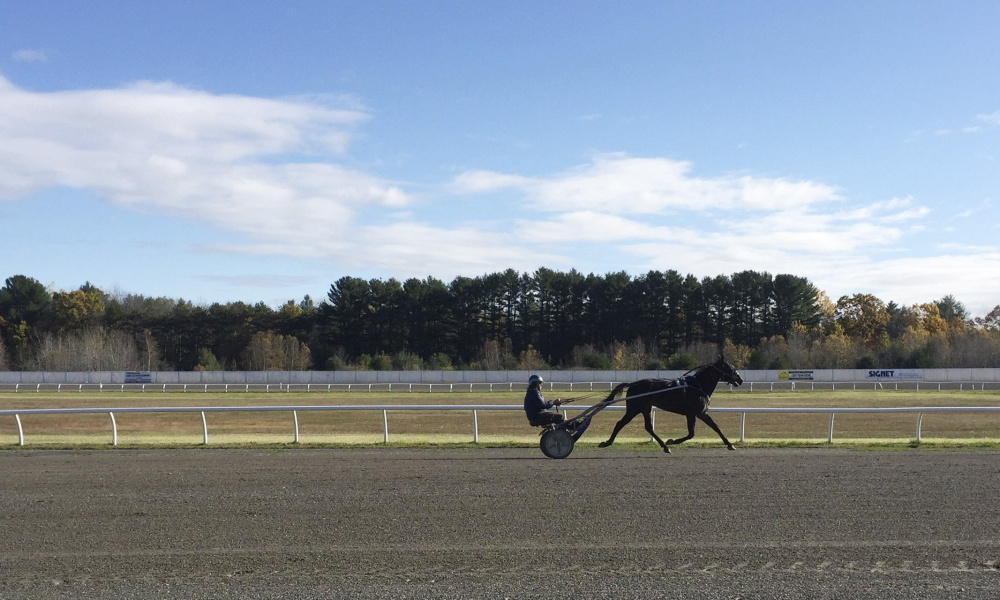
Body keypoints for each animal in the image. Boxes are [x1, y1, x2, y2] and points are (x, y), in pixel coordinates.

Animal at [597, 356, 744, 453]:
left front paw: (730, 444)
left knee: (648, 427)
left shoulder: (701, 413)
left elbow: (716, 427)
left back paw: (664, 446)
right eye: (729, 367)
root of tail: (633, 384)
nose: (740, 379)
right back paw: (607, 443)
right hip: (634, 408)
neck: (698, 386)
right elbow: (691, 434)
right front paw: (672, 441)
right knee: (620, 423)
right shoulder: (692, 413)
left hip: (645, 408)